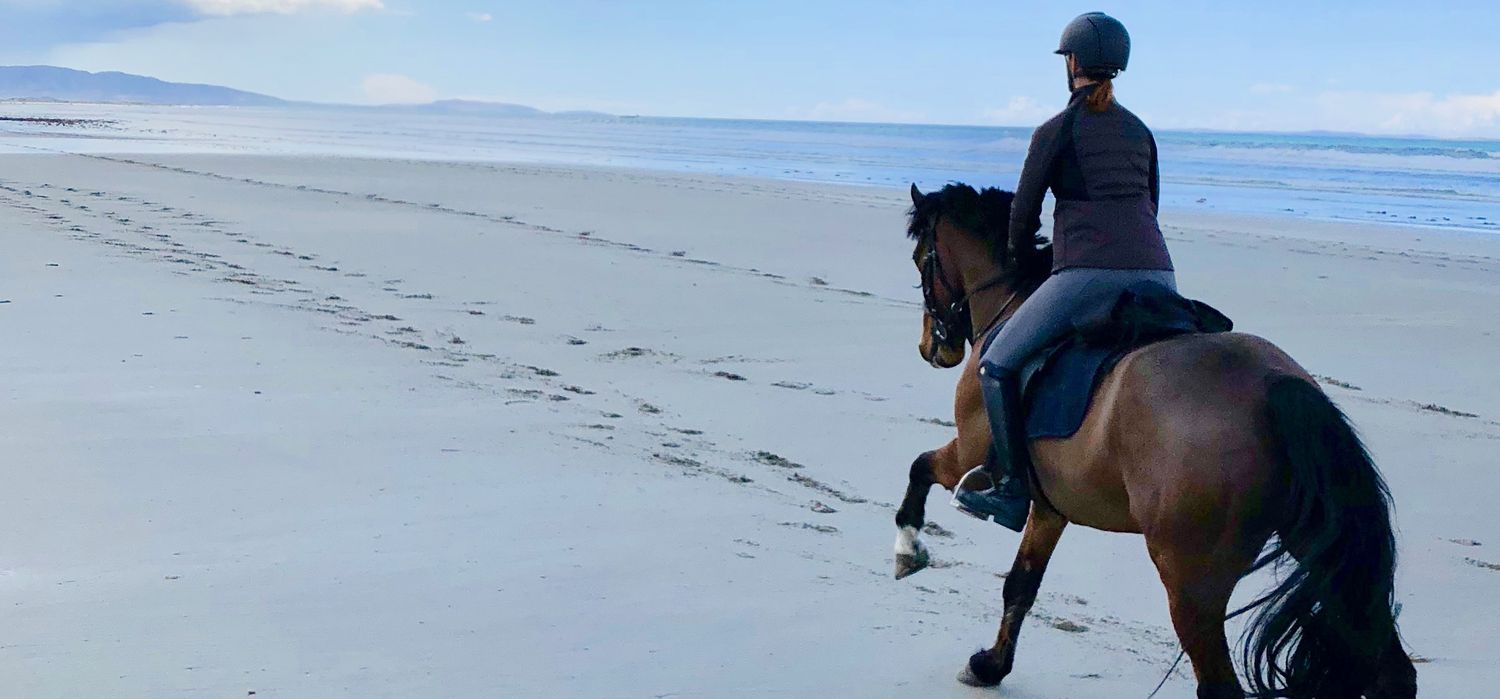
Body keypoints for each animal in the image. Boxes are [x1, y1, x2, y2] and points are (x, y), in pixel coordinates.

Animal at [888, 184, 1416, 699]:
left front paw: (908, 550)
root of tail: (1272, 386)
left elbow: (919, 467)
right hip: (1311, 543)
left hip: (1190, 583)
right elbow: (1021, 583)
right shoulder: (1049, 505)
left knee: (1219, 685)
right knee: (1389, 669)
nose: (932, 348)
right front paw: (991, 666)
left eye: (919, 259)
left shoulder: (968, 455)